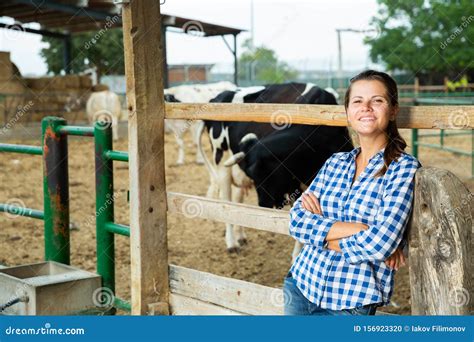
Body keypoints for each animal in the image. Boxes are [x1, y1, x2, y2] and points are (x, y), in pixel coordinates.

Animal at [198, 81, 354, 255]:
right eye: (255, 176)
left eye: (274, 173)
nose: (263, 204)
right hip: (221, 163)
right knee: (226, 202)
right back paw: (232, 243)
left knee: (238, 200)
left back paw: (240, 236)